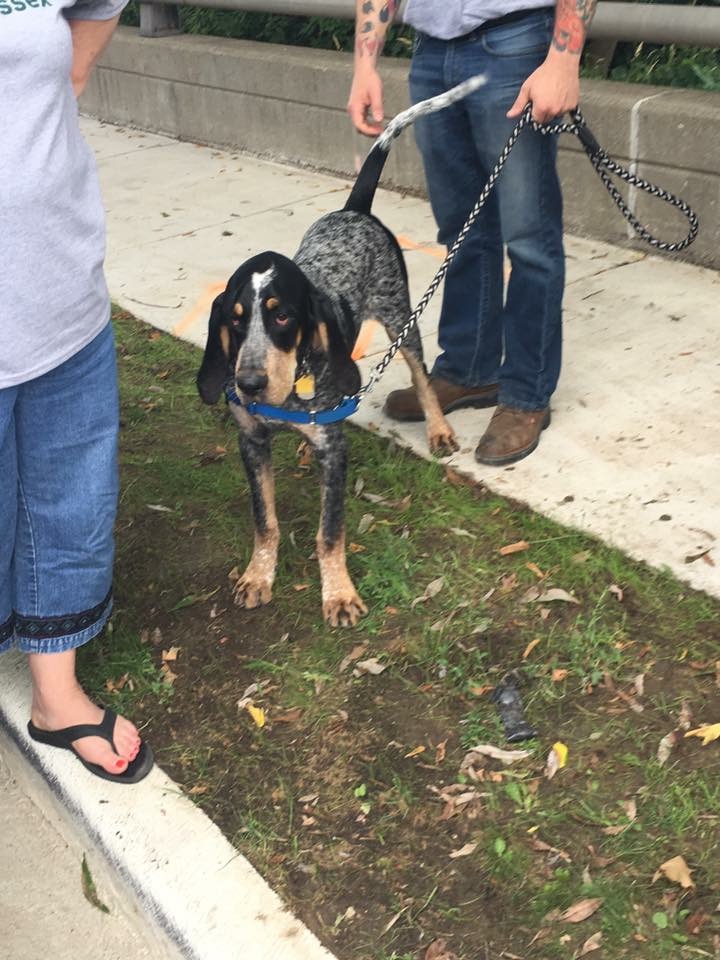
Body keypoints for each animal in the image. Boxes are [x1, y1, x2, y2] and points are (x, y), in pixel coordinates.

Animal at [198, 77, 484, 632]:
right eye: (236, 318)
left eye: (282, 316)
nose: (248, 384)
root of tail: (355, 209)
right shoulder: (251, 443)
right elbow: (264, 521)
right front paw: (258, 576)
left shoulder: (334, 456)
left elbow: (329, 533)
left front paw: (339, 594)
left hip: (401, 320)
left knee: (421, 376)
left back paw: (438, 429)